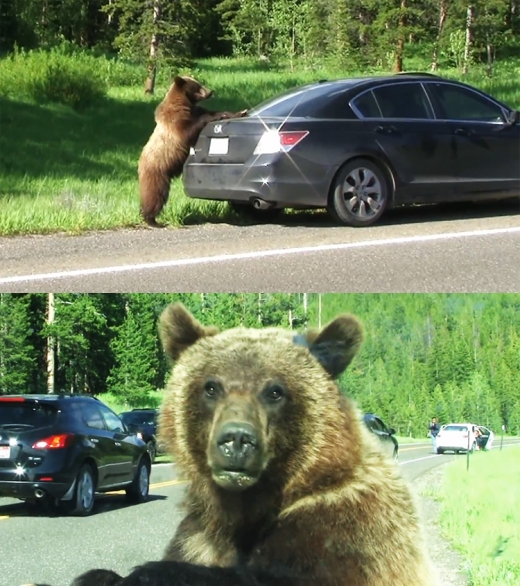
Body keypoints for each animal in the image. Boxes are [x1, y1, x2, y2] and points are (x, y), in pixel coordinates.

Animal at [48, 304, 436, 584]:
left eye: (275, 391)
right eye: (211, 386)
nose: (236, 440)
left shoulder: (347, 527)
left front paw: (143, 574)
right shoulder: (199, 534)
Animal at [136, 75, 246, 226]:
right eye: (198, 86)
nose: (210, 91)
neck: (185, 104)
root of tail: (139, 164)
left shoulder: (195, 110)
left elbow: (215, 111)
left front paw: (239, 112)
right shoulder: (176, 122)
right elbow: (189, 130)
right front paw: (214, 117)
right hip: (157, 171)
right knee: (155, 194)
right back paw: (151, 219)